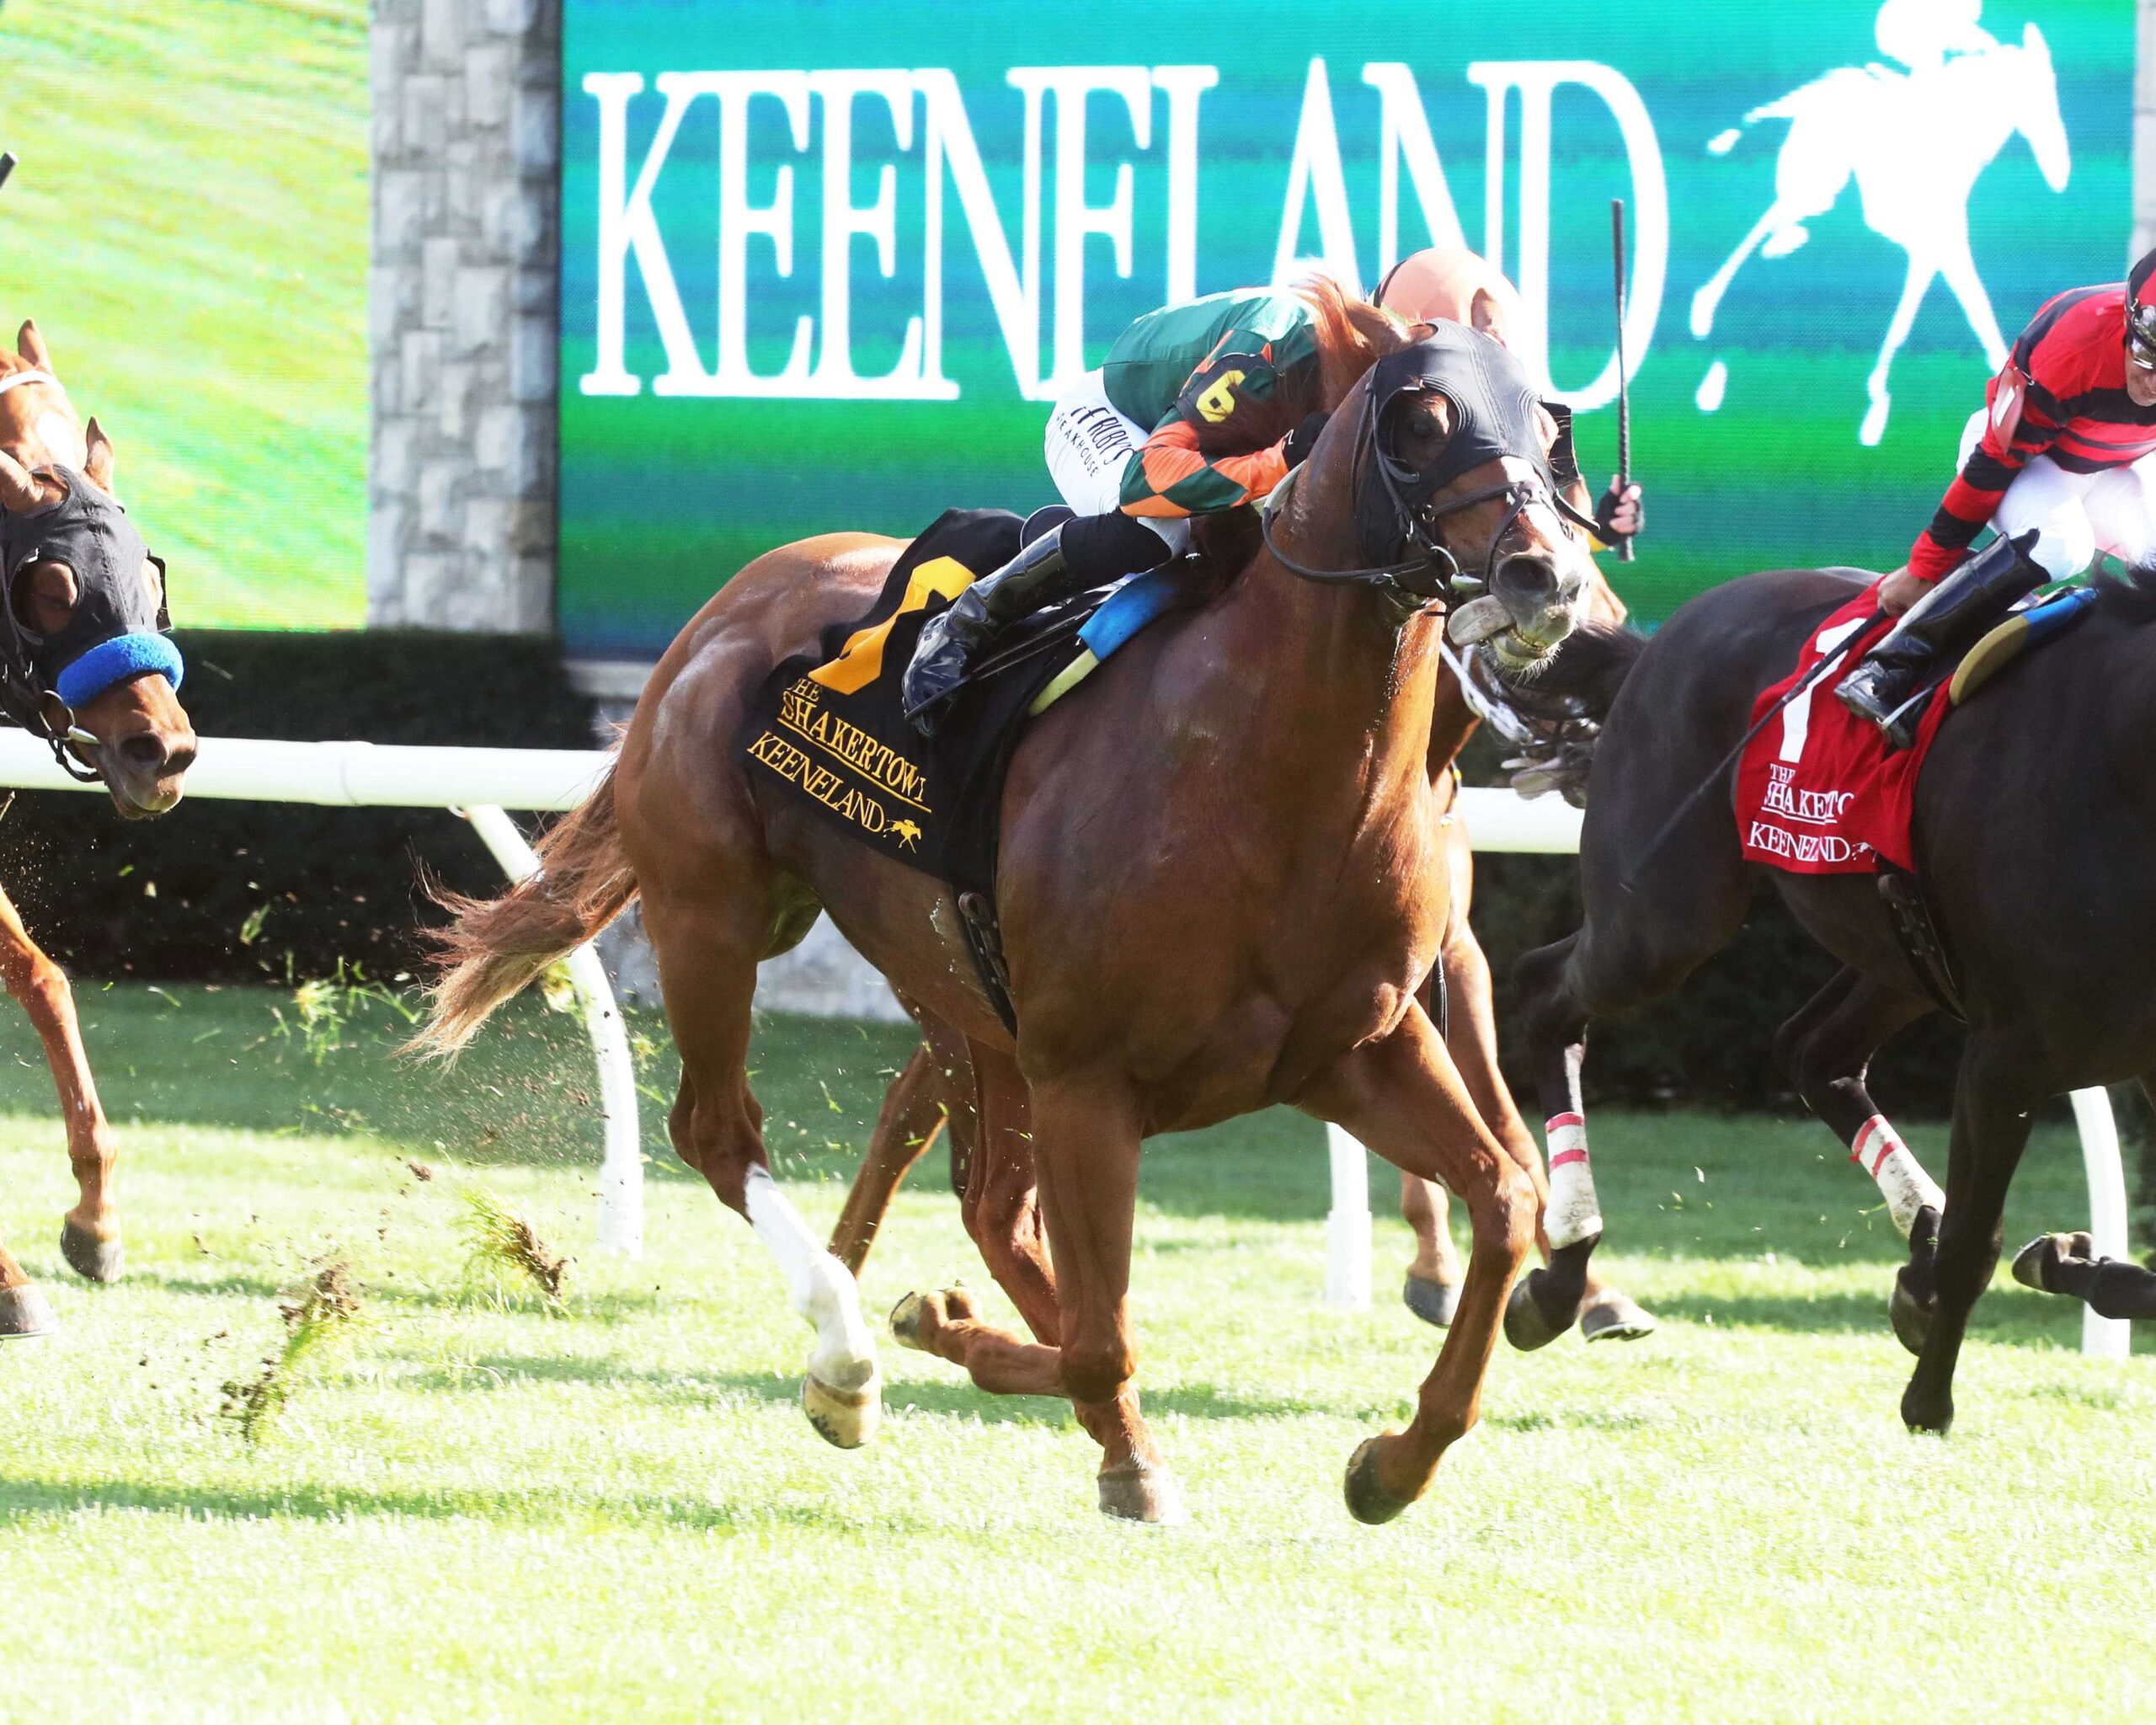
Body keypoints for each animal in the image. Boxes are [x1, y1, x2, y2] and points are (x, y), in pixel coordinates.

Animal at [413, 297, 1604, 1523]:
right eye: (1422, 422)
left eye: (1550, 427)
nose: (1546, 579)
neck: (1275, 772)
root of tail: (726, 607)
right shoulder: (1087, 1073)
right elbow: (1099, 1332)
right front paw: (1041, 1400)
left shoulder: (1354, 1046)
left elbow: (1506, 1199)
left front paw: (1392, 1461)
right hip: (715, 916)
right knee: (723, 1133)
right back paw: (849, 1358)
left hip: (951, 989)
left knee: (993, 1209)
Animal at [1508, 564, 2156, 1435]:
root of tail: (1666, 635)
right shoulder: (2007, 1057)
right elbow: (1976, 1242)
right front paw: (1929, 1403)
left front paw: (2060, 1258)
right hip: (1659, 919)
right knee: (1546, 993)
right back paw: (1561, 1274)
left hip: (1893, 952)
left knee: (1813, 1050)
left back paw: (1918, 1250)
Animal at [1690, 20, 2070, 447]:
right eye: (2040, 94)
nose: (2060, 172)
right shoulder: (1939, 247)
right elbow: (1952, 313)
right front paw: (1878, 407)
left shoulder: (1934, 251)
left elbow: (1961, 311)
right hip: (1816, 183)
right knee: (1765, 223)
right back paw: (1707, 314)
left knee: (1776, 226)